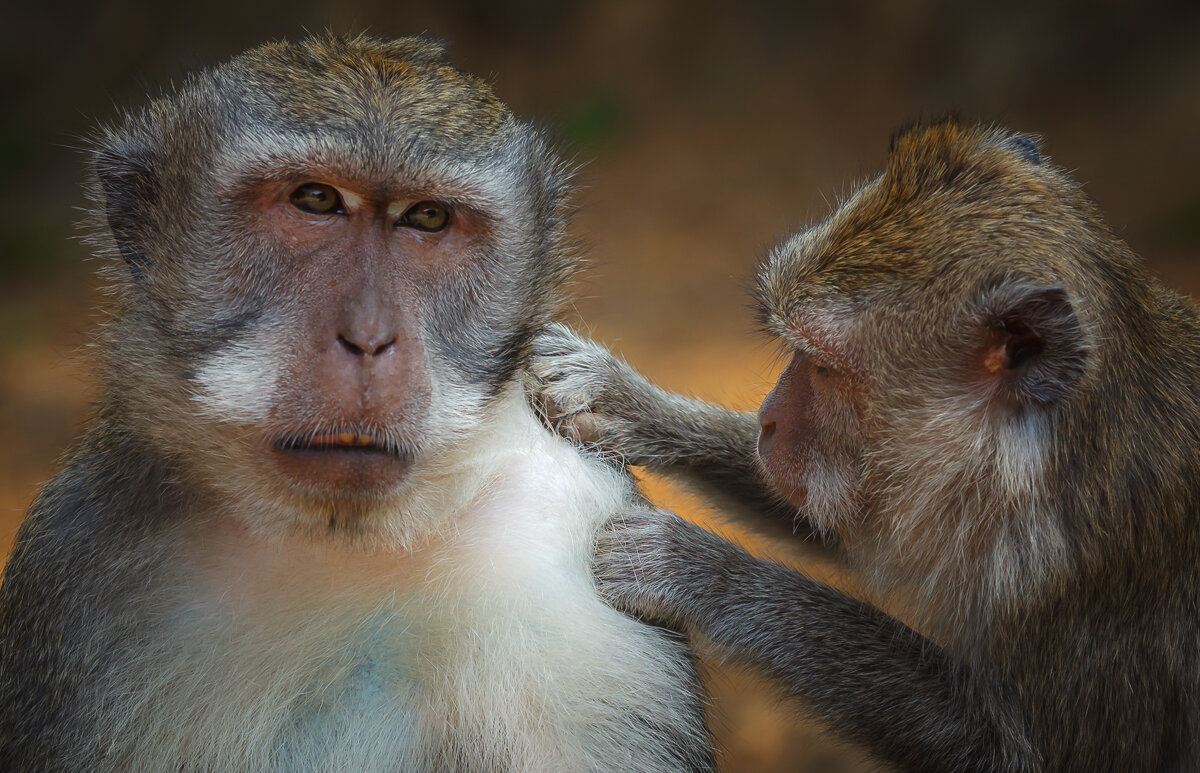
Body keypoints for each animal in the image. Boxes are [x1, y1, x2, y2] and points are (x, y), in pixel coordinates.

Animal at [0, 36, 710, 773]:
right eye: (315, 200)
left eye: (427, 217)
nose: (368, 338)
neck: (348, 537)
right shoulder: (79, 558)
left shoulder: (580, 576)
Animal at [532, 117, 1200, 768]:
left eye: (825, 367)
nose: (769, 421)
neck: (1037, 463)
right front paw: (622, 402)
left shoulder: (1083, 572)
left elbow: (1014, 754)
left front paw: (704, 573)